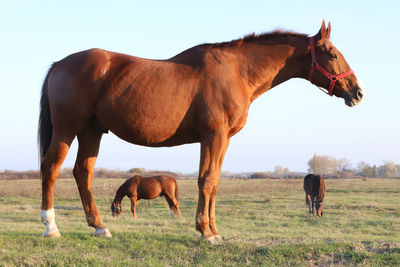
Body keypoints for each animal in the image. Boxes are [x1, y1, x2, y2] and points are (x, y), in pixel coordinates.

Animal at [38, 21, 362, 243]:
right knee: (51, 168)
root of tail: (59, 64)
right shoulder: (213, 136)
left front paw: (213, 230)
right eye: (332, 54)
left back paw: (100, 227)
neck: (236, 71)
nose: (357, 92)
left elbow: (215, 182)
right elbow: (206, 181)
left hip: (92, 131)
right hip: (67, 129)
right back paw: (51, 227)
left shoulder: (223, 140)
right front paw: (206, 232)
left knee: (83, 173)